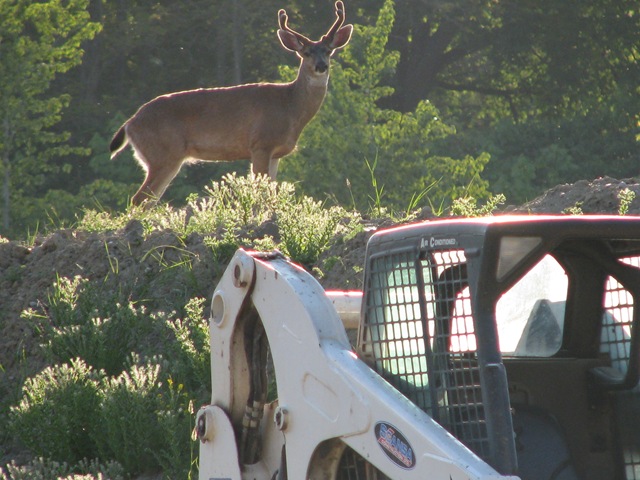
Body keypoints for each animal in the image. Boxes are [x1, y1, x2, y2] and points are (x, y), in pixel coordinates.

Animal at [109, 1, 352, 206]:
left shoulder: (275, 153)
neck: (290, 106)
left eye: (329, 51)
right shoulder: (260, 144)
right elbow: (261, 193)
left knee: (148, 200)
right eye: (306, 52)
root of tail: (130, 123)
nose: (321, 66)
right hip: (163, 153)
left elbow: (272, 193)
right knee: (139, 199)